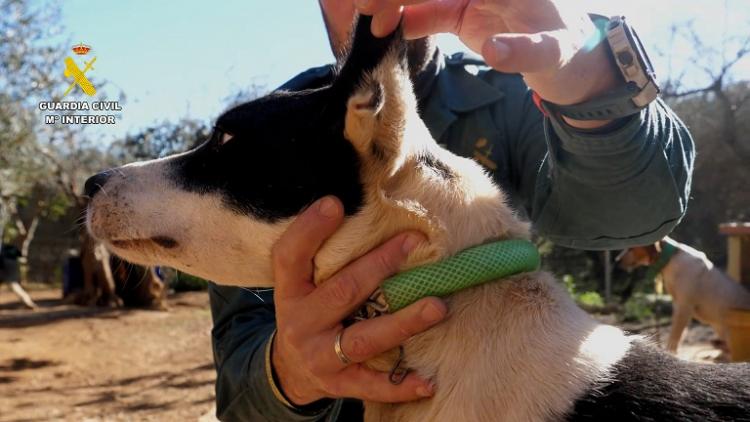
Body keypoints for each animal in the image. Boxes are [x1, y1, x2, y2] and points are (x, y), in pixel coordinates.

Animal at [620, 237, 750, 352]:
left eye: (631, 248)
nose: (617, 261)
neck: (671, 259)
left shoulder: (684, 307)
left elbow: (674, 339)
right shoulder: (678, 307)